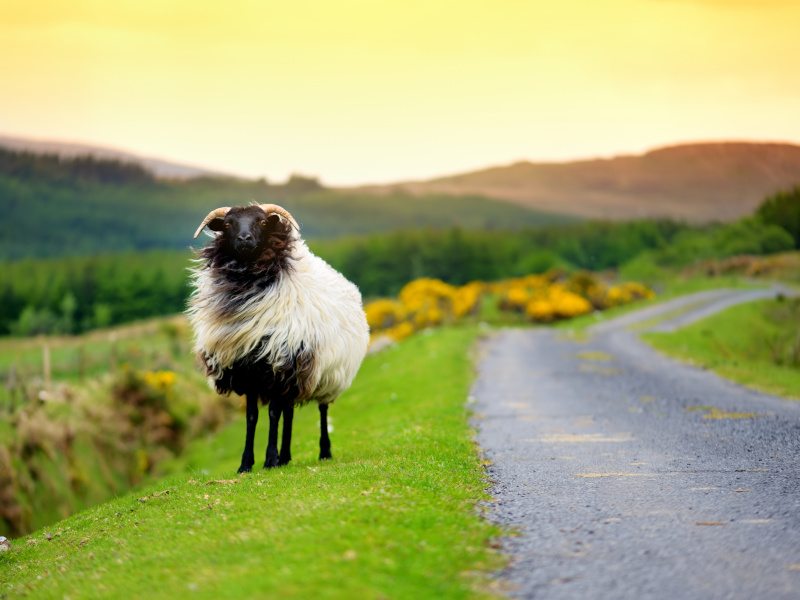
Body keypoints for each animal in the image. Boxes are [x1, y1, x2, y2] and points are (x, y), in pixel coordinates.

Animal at [189, 204, 370, 472]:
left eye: (263, 222)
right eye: (229, 223)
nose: (245, 239)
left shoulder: (278, 365)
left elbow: (273, 414)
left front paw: (270, 459)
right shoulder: (248, 370)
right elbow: (252, 417)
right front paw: (246, 464)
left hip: (328, 373)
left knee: (322, 409)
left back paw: (323, 451)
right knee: (290, 412)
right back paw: (286, 456)